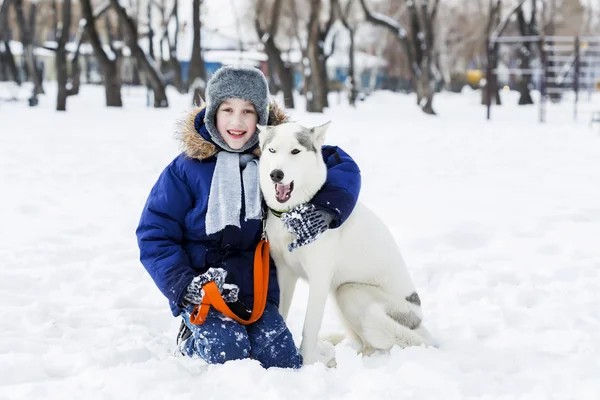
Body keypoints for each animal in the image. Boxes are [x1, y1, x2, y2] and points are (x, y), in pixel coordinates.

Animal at [258, 122, 432, 366]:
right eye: (272, 150)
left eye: (295, 151)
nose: (276, 174)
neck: (294, 214)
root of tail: (418, 321)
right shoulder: (285, 273)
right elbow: (282, 314)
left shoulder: (320, 279)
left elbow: (309, 328)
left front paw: (306, 364)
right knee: (362, 340)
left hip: (348, 292)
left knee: (377, 344)